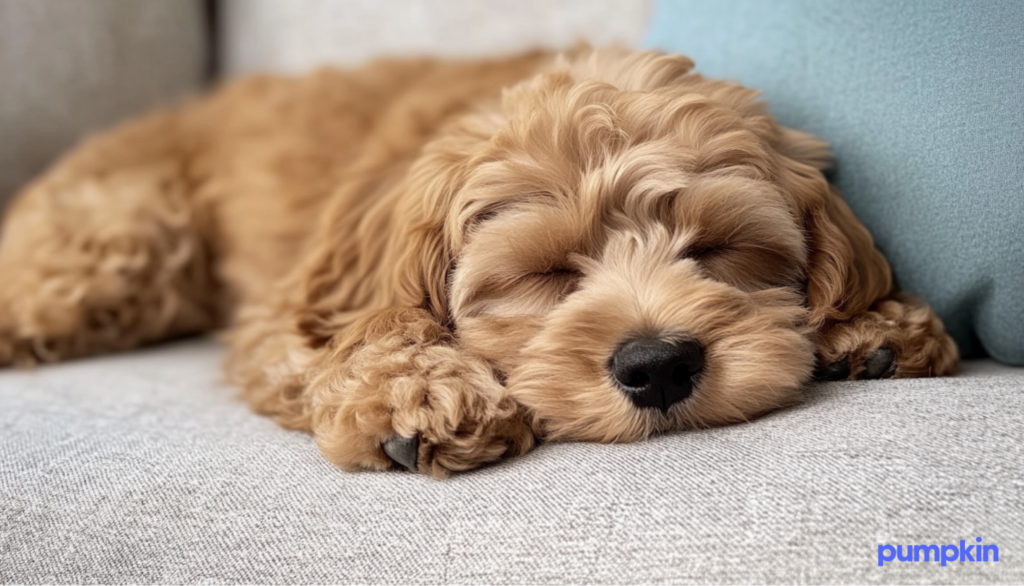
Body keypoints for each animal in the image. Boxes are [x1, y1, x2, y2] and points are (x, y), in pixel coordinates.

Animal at [0, 45, 958, 475]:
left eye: (717, 249)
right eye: (546, 271)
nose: (658, 365)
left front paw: (874, 326)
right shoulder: (304, 306)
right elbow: (374, 339)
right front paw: (420, 395)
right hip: (121, 247)